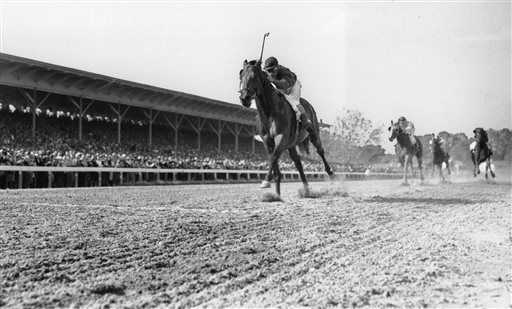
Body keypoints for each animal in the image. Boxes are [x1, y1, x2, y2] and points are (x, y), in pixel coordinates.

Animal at [238, 59, 334, 196]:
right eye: (241, 76)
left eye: (254, 76)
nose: (244, 98)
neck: (270, 112)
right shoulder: (268, 141)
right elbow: (272, 158)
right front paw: (275, 187)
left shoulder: (281, 138)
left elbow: (273, 157)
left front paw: (267, 181)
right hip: (291, 144)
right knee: (298, 162)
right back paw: (306, 188)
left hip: (313, 133)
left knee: (320, 150)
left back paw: (330, 172)